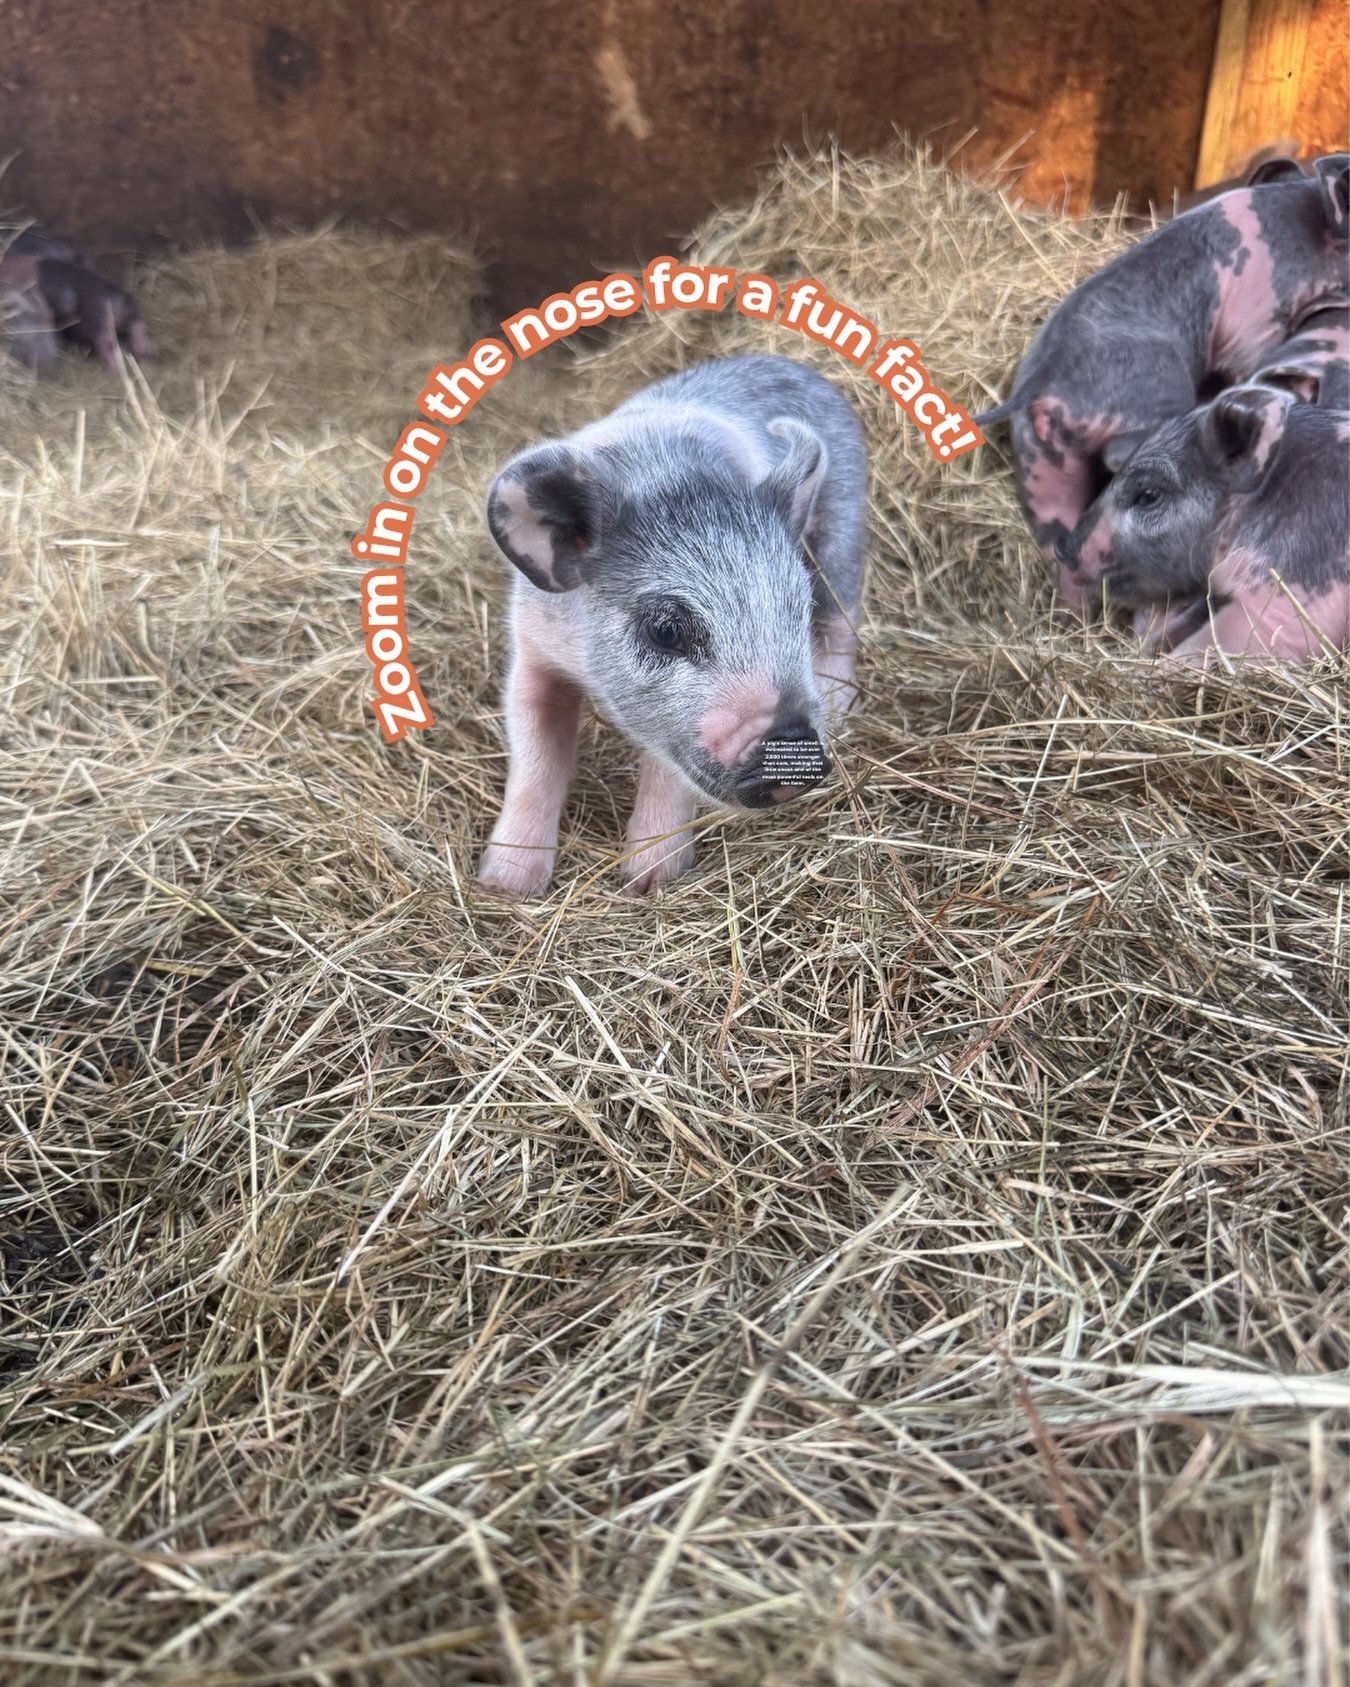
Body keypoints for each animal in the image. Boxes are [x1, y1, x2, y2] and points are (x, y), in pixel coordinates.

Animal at [476, 353, 867, 898]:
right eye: (665, 631)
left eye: (797, 608)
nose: (797, 749)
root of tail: (791, 363)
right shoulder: (532, 649)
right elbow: (535, 758)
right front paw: (505, 887)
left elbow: (666, 770)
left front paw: (647, 883)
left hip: (844, 526)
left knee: (841, 622)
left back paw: (841, 710)